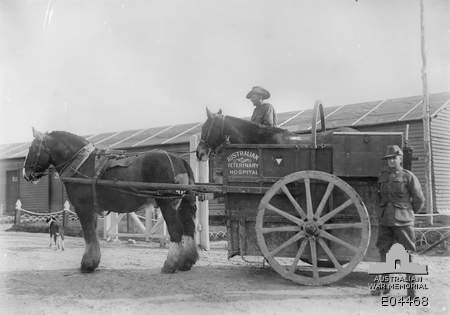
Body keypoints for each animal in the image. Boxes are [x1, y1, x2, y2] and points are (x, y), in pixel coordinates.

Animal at [23, 128, 198, 274]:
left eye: (32, 148)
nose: (26, 174)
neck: (82, 164)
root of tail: (178, 160)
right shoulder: (92, 210)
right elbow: (92, 234)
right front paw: (93, 262)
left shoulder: (83, 207)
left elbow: (89, 234)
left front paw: (87, 264)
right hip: (182, 205)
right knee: (189, 229)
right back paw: (186, 262)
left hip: (168, 204)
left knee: (176, 230)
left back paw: (170, 264)